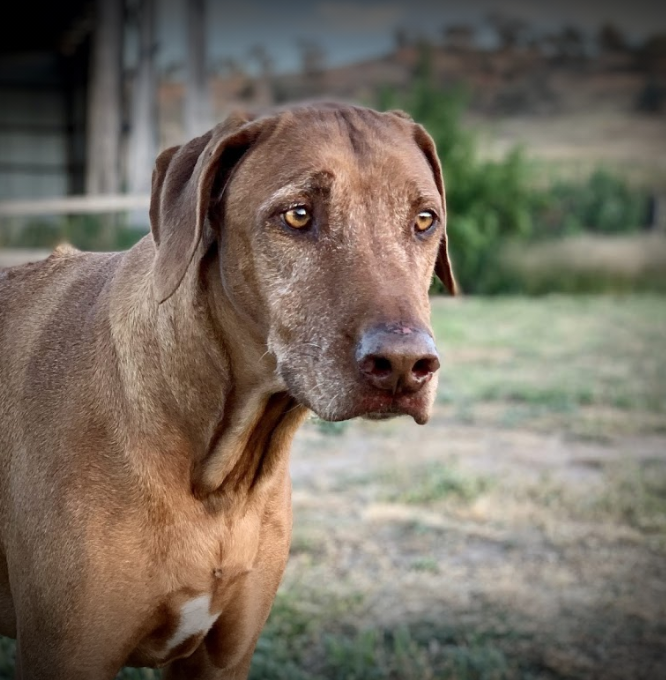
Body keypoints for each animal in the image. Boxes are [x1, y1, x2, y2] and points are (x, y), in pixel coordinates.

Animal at [0, 102, 454, 680]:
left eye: (425, 220)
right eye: (297, 215)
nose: (404, 365)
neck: (218, 476)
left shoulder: (224, 657)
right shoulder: (67, 655)